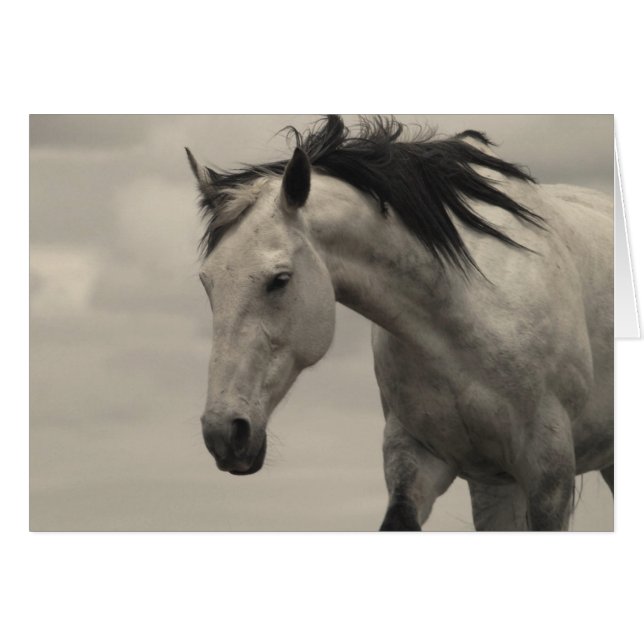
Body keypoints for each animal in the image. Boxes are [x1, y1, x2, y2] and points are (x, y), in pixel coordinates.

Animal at [186, 115, 613, 531]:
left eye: (279, 279)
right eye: (207, 282)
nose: (224, 433)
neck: (463, 312)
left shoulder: (548, 472)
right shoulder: (416, 457)